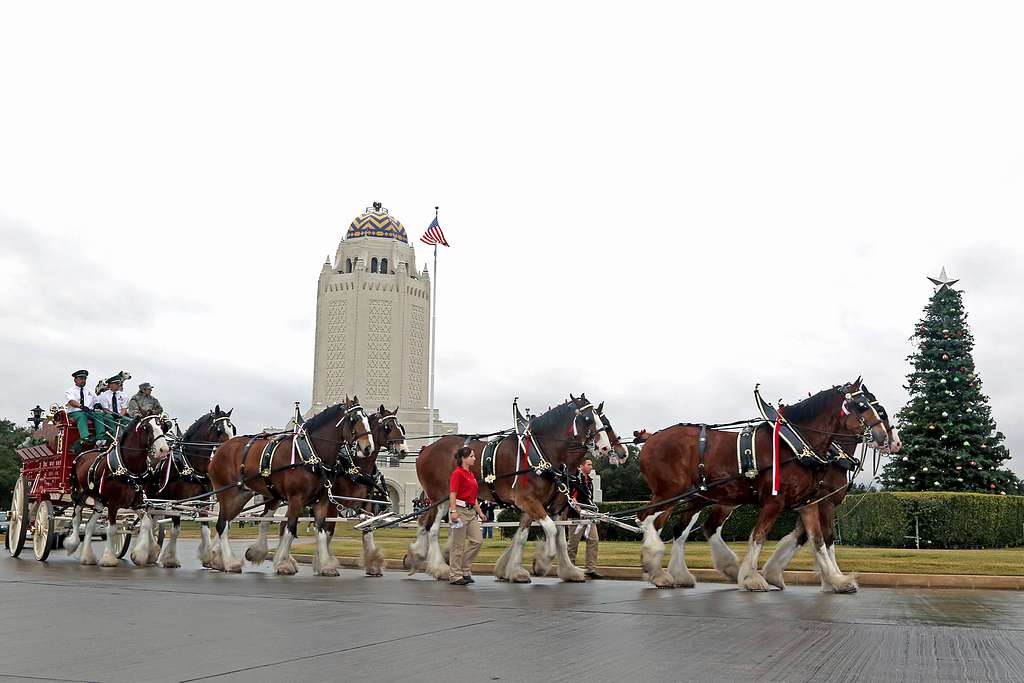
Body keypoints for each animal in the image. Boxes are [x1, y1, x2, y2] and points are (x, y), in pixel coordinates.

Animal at [63, 413, 171, 569]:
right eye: (146, 427)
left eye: (163, 426)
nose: (164, 450)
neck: (128, 468)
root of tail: (81, 455)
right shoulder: (113, 504)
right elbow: (112, 529)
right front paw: (109, 558)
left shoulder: (137, 503)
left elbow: (147, 522)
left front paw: (143, 554)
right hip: (79, 495)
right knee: (77, 519)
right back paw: (72, 544)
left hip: (99, 501)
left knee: (89, 525)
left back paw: (87, 557)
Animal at [205, 397, 370, 573]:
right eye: (354, 419)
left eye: (366, 418)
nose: (367, 448)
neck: (309, 454)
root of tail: (221, 448)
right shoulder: (296, 498)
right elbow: (290, 529)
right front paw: (283, 563)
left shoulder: (321, 500)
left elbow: (321, 531)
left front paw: (325, 565)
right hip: (227, 493)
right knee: (222, 525)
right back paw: (229, 562)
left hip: (241, 496)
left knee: (227, 522)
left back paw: (218, 560)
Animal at [409, 395, 622, 581]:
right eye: (588, 419)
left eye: (603, 421)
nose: (610, 448)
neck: (543, 453)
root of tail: (425, 450)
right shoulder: (528, 501)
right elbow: (551, 531)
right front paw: (542, 561)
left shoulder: (545, 506)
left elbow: (533, 536)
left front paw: (518, 571)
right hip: (441, 498)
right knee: (433, 529)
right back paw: (440, 568)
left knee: (426, 522)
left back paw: (418, 555)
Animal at [638, 378, 888, 593]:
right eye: (861, 405)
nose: (885, 438)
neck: (795, 445)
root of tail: (650, 439)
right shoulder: (777, 500)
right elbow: (759, 536)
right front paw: (752, 577)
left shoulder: (808, 503)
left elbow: (818, 540)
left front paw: (836, 580)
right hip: (669, 492)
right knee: (647, 519)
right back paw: (656, 567)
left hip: (700, 497)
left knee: (681, 527)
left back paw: (687, 572)